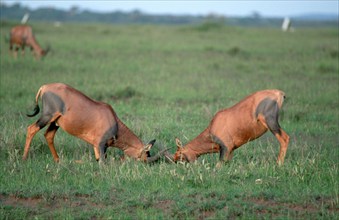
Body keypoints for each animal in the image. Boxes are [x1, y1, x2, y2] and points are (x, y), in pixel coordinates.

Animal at [23, 83, 162, 162]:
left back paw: (57, 160)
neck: (113, 120)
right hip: (47, 116)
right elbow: (102, 163)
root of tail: (44, 87)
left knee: (48, 135)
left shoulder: (97, 146)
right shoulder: (101, 145)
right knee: (31, 129)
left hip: (55, 122)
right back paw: (24, 158)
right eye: (143, 156)